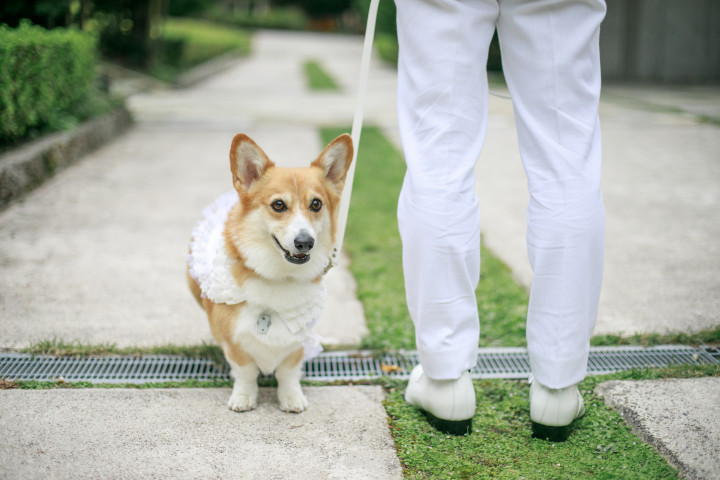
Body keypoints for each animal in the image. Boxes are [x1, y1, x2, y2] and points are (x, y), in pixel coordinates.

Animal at [187, 134, 352, 412]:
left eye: (316, 204)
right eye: (278, 205)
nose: (305, 242)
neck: (280, 277)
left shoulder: (297, 340)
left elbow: (288, 372)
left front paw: (292, 398)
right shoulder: (235, 341)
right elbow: (245, 371)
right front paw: (243, 397)